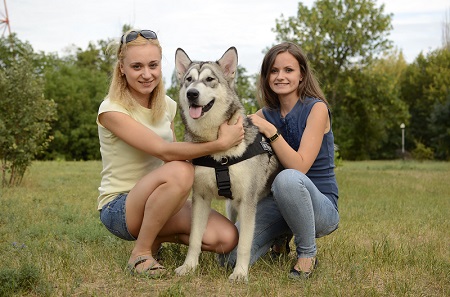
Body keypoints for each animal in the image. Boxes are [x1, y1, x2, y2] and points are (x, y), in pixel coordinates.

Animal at [174, 46, 280, 280]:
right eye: (188, 80)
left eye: (209, 79)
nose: (191, 93)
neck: (217, 150)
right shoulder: (201, 197)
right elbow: (195, 238)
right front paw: (189, 266)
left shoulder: (247, 202)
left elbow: (244, 244)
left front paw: (240, 273)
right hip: (231, 207)